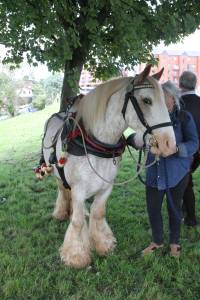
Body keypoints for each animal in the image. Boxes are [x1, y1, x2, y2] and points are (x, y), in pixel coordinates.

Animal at [41, 64, 175, 268]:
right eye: (146, 100)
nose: (169, 145)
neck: (97, 143)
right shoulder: (78, 189)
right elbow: (77, 222)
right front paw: (76, 256)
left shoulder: (106, 187)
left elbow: (98, 214)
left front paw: (103, 245)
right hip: (57, 174)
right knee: (63, 191)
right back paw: (61, 213)